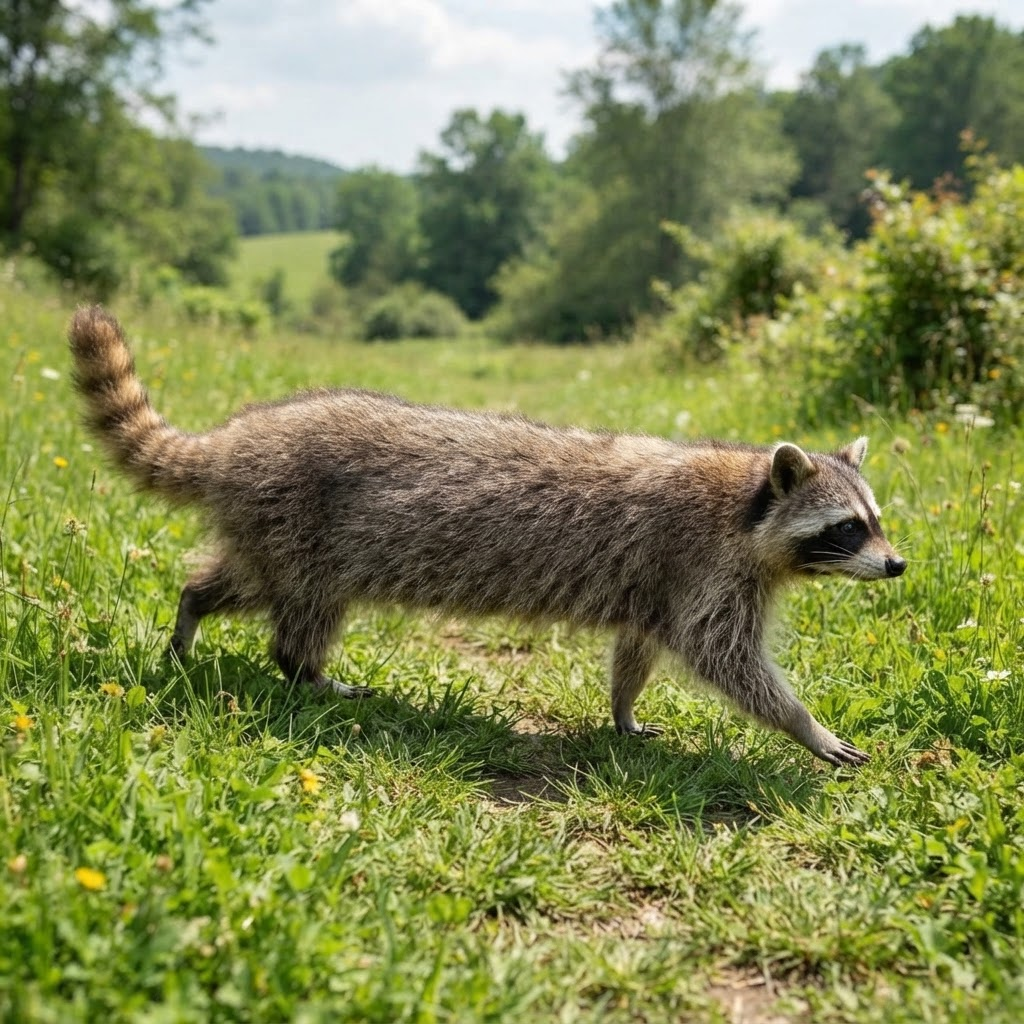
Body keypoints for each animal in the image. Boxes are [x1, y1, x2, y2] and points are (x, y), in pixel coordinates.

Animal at [69, 306, 905, 767]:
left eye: (878, 520)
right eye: (847, 528)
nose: (897, 565)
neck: (747, 504)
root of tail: (235, 441)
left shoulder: (660, 584)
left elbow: (637, 650)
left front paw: (622, 710)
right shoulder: (705, 567)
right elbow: (728, 661)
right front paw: (804, 724)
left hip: (269, 529)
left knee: (238, 580)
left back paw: (193, 607)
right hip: (302, 525)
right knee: (302, 612)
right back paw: (306, 671)